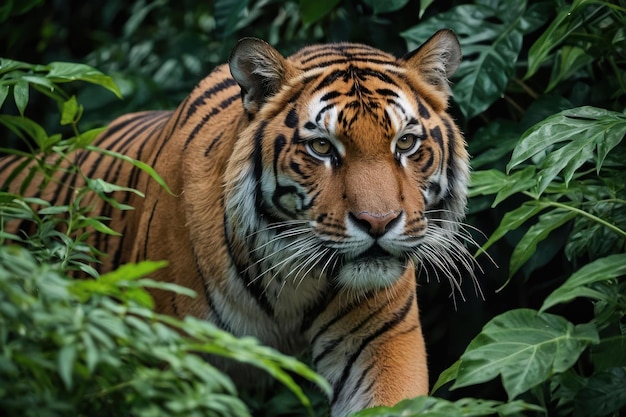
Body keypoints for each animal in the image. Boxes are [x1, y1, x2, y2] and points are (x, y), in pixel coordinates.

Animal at [0, 30, 468, 416]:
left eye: (405, 143)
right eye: (321, 147)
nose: (378, 223)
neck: (291, 285)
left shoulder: (381, 343)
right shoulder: (173, 356)